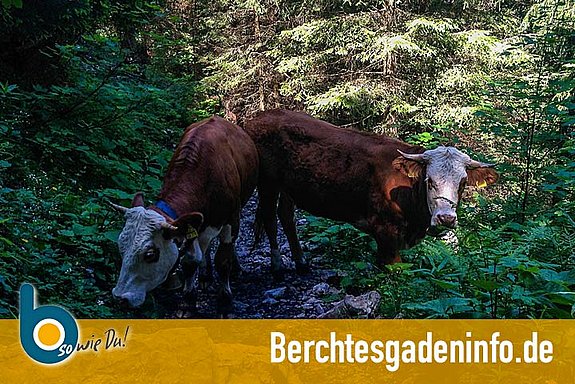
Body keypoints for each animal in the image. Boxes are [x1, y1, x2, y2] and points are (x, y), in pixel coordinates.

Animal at [110, 117, 258, 316]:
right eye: (120, 246)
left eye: (150, 254)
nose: (120, 297)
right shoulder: (190, 226)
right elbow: (190, 262)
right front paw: (187, 303)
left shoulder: (231, 220)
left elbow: (223, 261)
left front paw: (225, 304)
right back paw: (204, 276)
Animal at [244, 109, 500, 278]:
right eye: (429, 180)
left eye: (463, 182)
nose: (446, 218)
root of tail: (260, 116)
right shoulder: (386, 232)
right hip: (267, 183)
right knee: (269, 217)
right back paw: (277, 266)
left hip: (288, 187)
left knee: (286, 216)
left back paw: (301, 262)